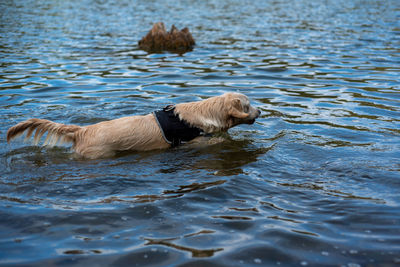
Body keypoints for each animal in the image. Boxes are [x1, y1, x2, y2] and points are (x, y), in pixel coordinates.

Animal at [7, 93, 262, 159]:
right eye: (248, 105)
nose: (261, 111)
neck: (208, 111)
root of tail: (82, 130)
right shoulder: (193, 142)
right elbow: (213, 140)